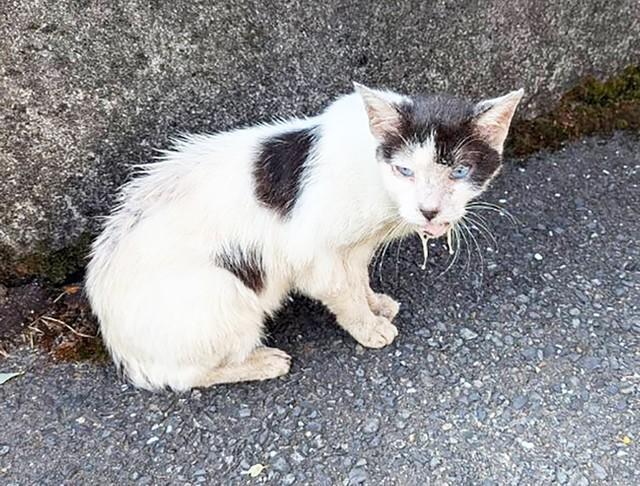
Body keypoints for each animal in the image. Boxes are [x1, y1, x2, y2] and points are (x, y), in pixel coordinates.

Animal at [85, 81, 524, 390]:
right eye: (405, 171)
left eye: (460, 172)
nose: (429, 210)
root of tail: (119, 347)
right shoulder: (314, 255)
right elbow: (342, 292)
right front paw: (368, 327)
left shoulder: (355, 248)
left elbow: (358, 278)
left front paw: (376, 304)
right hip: (222, 294)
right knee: (184, 377)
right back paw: (263, 361)